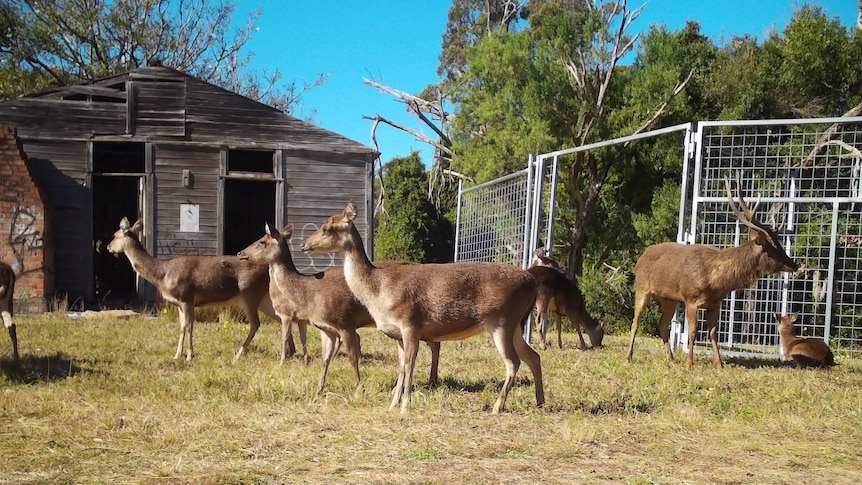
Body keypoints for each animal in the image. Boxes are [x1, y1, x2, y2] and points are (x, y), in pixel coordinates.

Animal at [106, 217, 294, 361]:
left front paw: (190, 356)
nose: (108, 247)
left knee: (256, 323)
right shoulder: (178, 304)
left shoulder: (187, 298)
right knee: (281, 317)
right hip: (263, 298)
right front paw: (177, 355)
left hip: (249, 293)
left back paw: (239, 354)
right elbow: (182, 327)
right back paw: (291, 352)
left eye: (115, 235)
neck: (162, 274)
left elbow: (190, 326)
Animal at [237, 222, 441, 394]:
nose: (240, 253)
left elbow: (352, 357)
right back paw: (432, 381)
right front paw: (319, 389)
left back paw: (431, 381)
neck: (311, 294)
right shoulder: (324, 328)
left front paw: (359, 388)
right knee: (435, 343)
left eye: (262, 241)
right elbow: (324, 358)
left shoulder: (345, 323)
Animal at [301, 201, 543, 414]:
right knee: (534, 356)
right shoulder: (398, 333)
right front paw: (392, 404)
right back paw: (541, 402)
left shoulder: (410, 322)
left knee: (513, 362)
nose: (304, 245)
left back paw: (497, 407)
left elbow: (410, 364)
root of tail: (532, 281)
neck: (378, 290)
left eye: (327, 227)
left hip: (502, 320)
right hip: (515, 325)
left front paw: (405, 406)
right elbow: (401, 366)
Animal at [626, 177, 800, 369]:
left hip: (669, 298)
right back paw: (628, 357)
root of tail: (642, 256)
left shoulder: (715, 303)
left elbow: (713, 333)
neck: (715, 282)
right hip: (642, 287)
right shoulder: (691, 298)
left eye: (780, 244)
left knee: (662, 324)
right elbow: (693, 332)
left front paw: (719, 364)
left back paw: (671, 359)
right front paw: (690, 364)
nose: (795, 265)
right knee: (635, 322)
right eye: (773, 249)